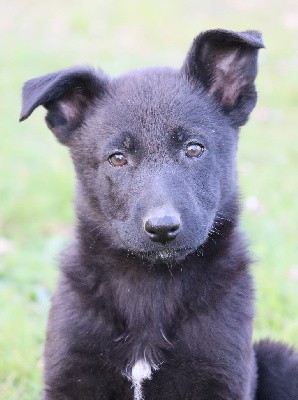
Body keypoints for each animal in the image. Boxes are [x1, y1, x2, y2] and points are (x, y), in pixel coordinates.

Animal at [19, 28, 296, 400]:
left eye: (194, 149)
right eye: (117, 158)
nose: (163, 228)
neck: (151, 284)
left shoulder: (219, 375)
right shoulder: (71, 374)